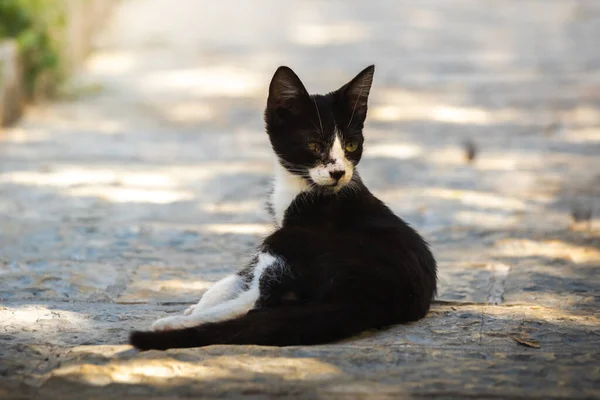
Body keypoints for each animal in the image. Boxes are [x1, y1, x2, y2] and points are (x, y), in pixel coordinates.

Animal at [130, 65, 436, 350]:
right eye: (313, 145)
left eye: (350, 145)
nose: (339, 172)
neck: (301, 186)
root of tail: (371, 298)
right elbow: (236, 277)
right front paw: (201, 303)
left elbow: (245, 279)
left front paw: (189, 313)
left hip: (290, 241)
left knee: (258, 301)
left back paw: (173, 324)